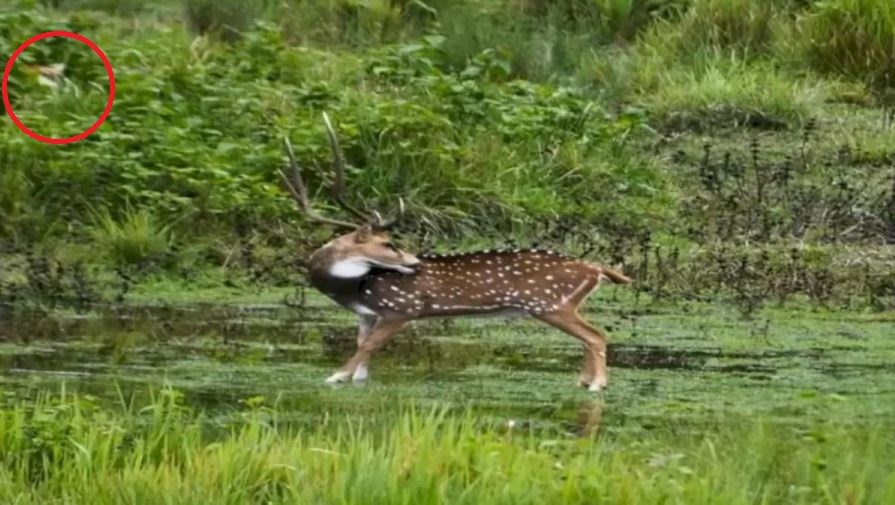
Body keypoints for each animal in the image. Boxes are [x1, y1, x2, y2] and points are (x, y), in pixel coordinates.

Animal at [280, 114, 632, 392]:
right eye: (388, 244)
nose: (415, 262)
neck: (354, 287)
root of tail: (597, 269)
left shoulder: (401, 308)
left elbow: (368, 347)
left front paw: (335, 376)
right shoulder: (367, 315)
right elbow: (363, 355)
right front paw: (351, 378)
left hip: (549, 302)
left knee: (595, 335)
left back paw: (598, 385)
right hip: (560, 304)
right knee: (590, 337)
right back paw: (585, 381)